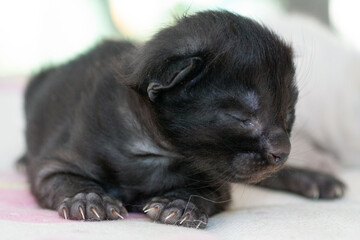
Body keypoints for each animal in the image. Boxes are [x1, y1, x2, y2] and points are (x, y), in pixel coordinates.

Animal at [21, 10, 344, 229]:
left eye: (287, 114)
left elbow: (204, 192)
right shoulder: (55, 162)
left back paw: (317, 180)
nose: (283, 151)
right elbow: (65, 179)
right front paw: (89, 198)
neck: (154, 147)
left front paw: (179, 203)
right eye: (241, 117)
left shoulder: (217, 183)